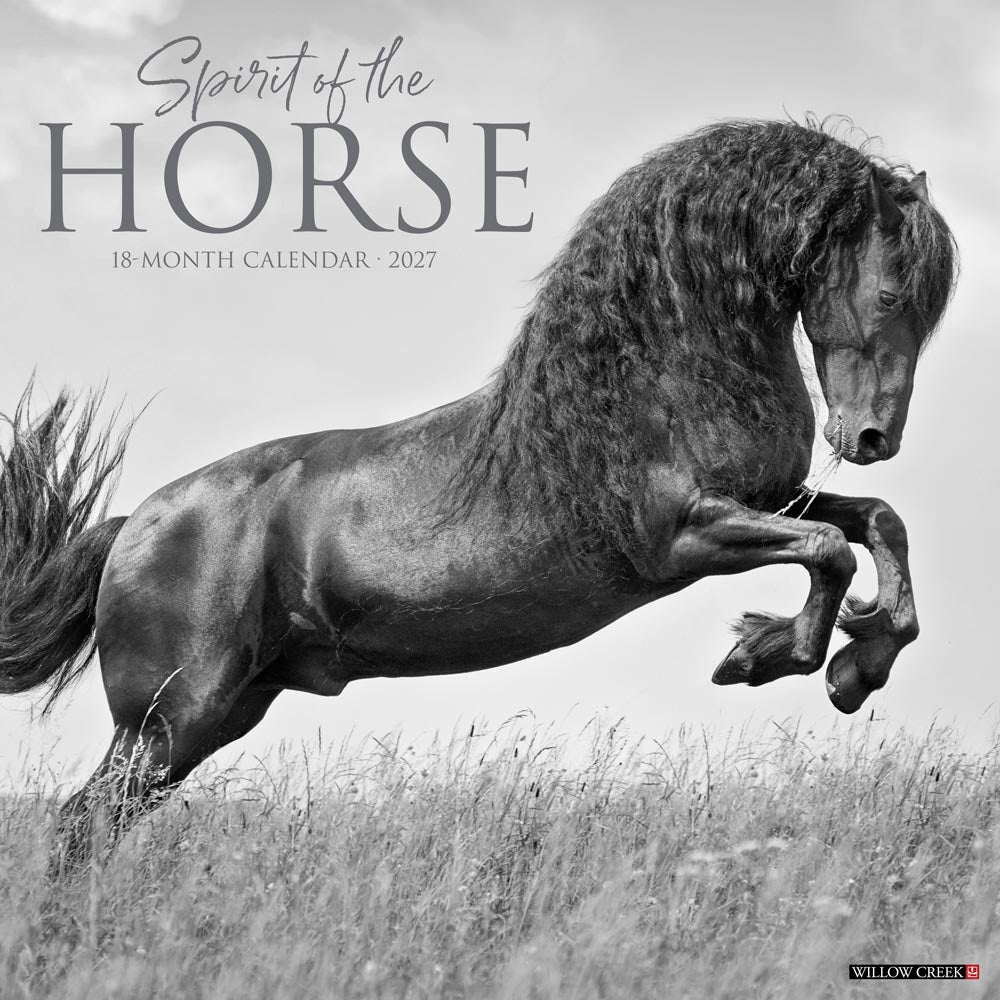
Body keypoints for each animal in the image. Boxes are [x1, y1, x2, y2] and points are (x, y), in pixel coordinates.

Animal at [0, 119, 955, 872]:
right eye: (887, 292)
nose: (873, 439)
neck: (647, 385)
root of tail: (132, 526)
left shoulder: (771, 496)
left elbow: (877, 525)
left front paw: (862, 658)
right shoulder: (685, 537)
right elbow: (829, 552)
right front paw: (769, 656)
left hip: (223, 712)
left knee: (100, 821)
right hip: (172, 719)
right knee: (83, 824)